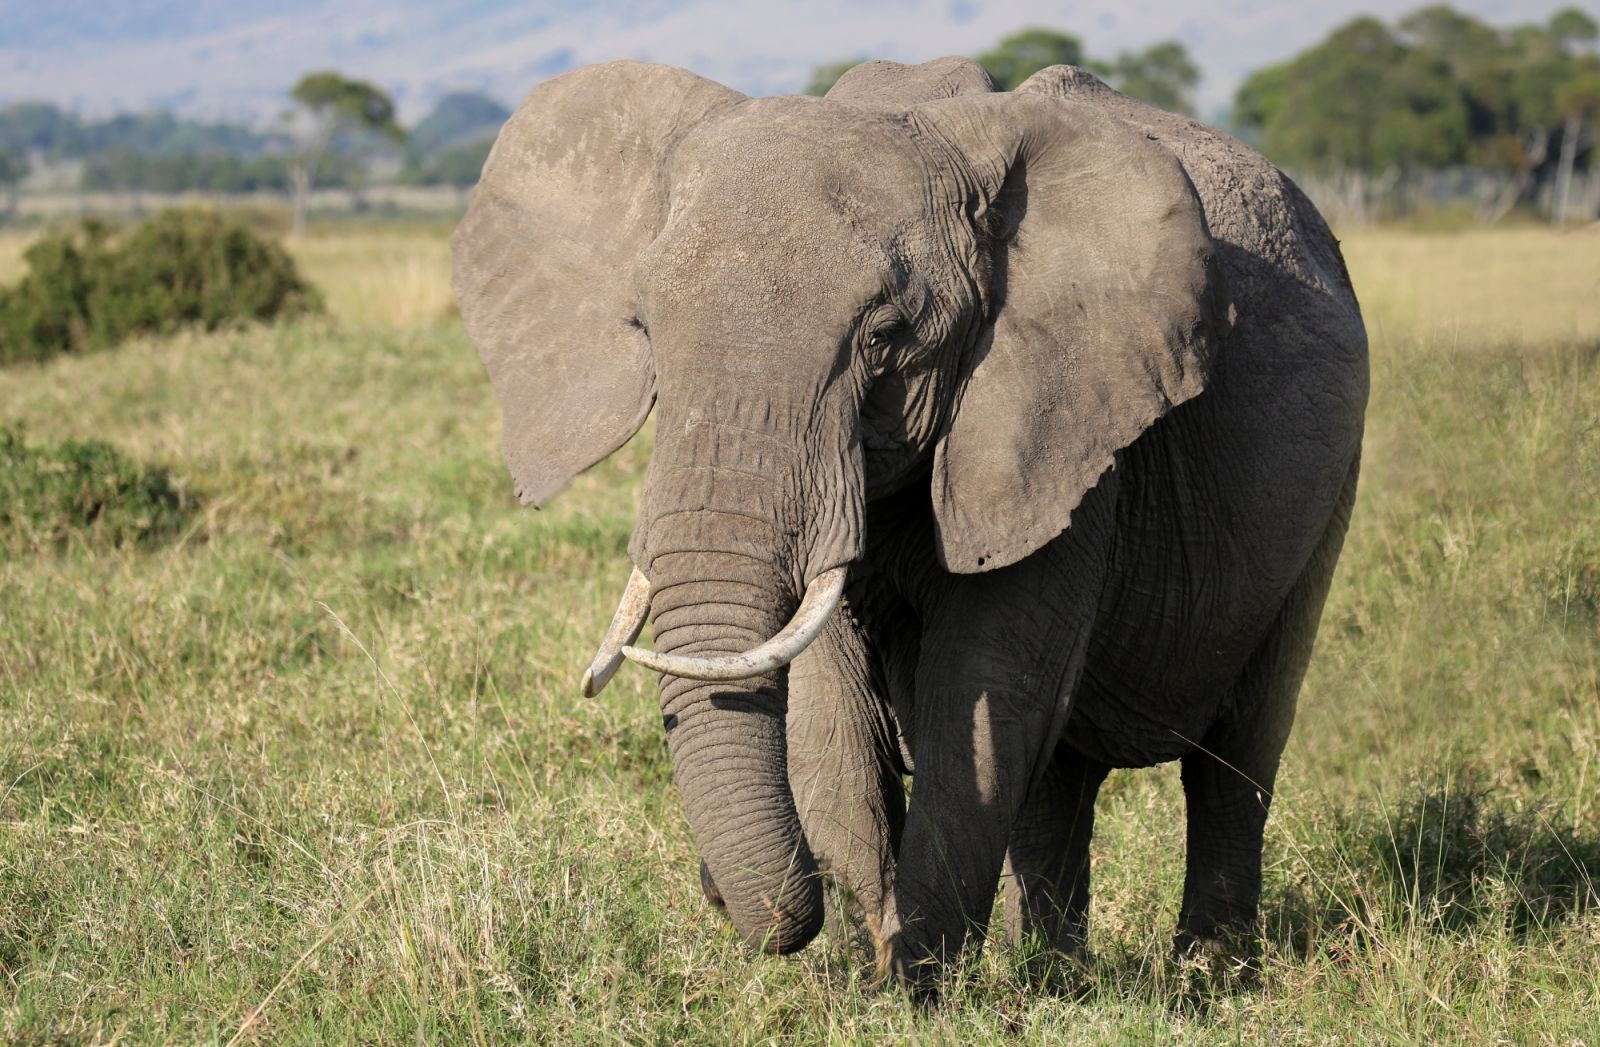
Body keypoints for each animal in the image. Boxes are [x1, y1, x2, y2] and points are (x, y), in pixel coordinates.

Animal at [454, 57, 1376, 992]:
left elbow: (980, 691)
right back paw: (1053, 976)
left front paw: (915, 988)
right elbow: (833, 714)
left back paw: (1207, 976)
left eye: (887, 334)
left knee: (1237, 751)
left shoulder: (1059, 427)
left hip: (1328, 490)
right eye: (642, 326)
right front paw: (874, 974)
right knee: (1060, 778)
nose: (712, 885)